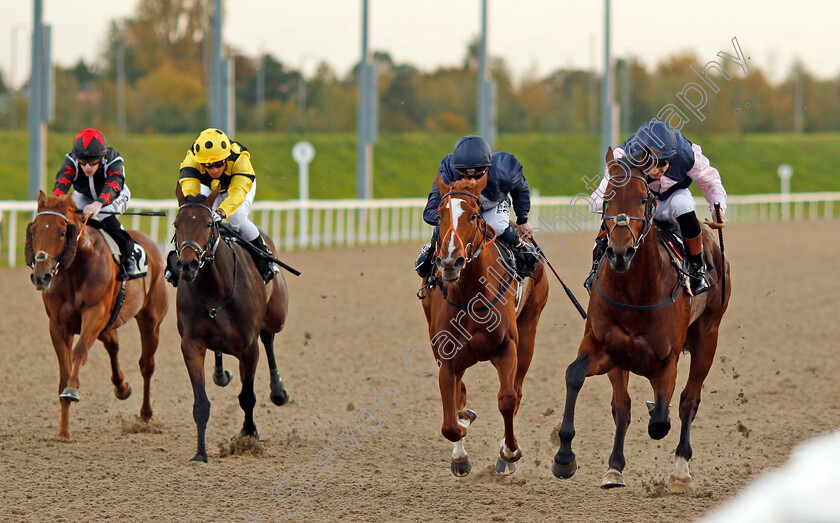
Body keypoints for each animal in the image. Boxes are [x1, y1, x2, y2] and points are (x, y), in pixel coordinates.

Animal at [25, 190, 169, 440]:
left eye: (62, 233)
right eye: (34, 230)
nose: (41, 276)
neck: (77, 265)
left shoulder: (94, 313)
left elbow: (79, 352)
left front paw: (72, 391)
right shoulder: (58, 325)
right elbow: (64, 371)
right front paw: (64, 431)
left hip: (151, 319)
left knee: (147, 365)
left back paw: (145, 415)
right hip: (108, 324)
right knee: (113, 345)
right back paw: (122, 387)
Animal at [172, 184, 290, 462]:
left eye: (207, 224)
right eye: (176, 224)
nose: (187, 264)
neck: (215, 287)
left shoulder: (248, 348)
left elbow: (247, 397)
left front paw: (248, 435)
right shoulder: (191, 344)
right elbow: (201, 403)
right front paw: (200, 454)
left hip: (277, 314)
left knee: (269, 338)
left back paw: (278, 390)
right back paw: (220, 373)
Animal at [420, 176, 552, 478]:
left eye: (473, 214)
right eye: (440, 214)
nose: (450, 261)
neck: (471, 296)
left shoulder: (507, 348)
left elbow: (507, 398)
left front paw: (509, 452)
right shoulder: (446, 356)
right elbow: (451, 416)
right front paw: (460, 447)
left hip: (529, 330)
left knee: (517, 391)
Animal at [552, 149, 728, 494]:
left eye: (644, 199)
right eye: (607, 197)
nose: (620, 252)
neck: (635, 292)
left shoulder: (667, 359)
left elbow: (661, 419)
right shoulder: (605, 347)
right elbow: (578, 378)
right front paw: (566, 457)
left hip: (708, 336)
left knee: (688, 401)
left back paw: (680, 471)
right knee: (626, 407)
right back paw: (614, 468)